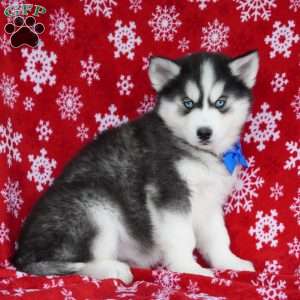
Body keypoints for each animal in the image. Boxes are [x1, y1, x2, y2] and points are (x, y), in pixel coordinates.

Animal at [12, 50, 258, 282]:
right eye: (187, 103)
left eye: (221, 102)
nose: (204, 132)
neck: (191, 147)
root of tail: (20, 255)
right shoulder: (169, 191)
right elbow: (183, 236)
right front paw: (189, 268)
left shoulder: (210, 200)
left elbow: (218, 236)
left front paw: (230, 262)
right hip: (95, 205)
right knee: (70, 266)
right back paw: (113, 269)